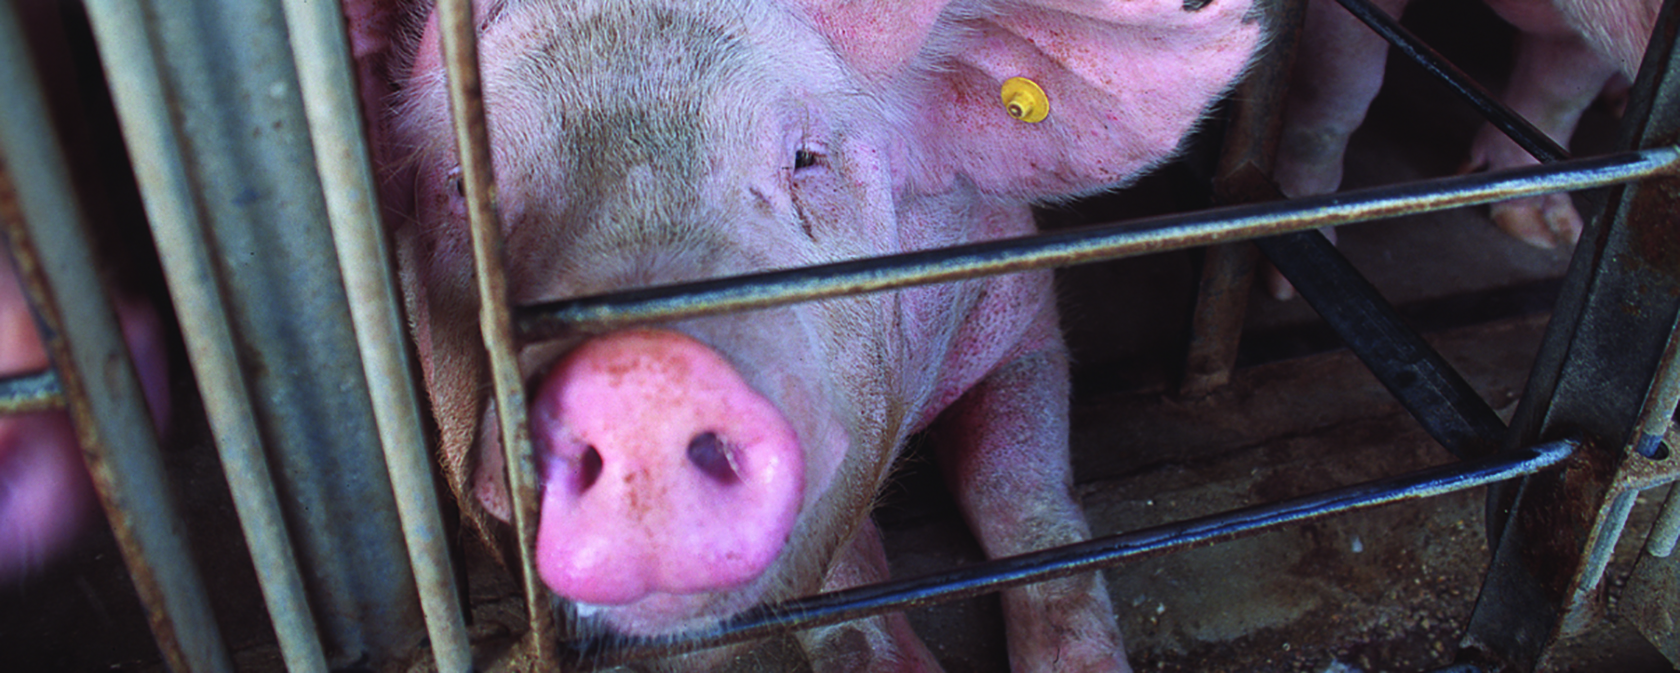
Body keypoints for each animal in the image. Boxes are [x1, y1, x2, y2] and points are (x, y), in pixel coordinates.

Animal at [357, 0, 1270, 664]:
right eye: (460, 190)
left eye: (806, 158)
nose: (641, 377)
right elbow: (842, 581)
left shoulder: (1021, 314)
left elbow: (1026, 496)